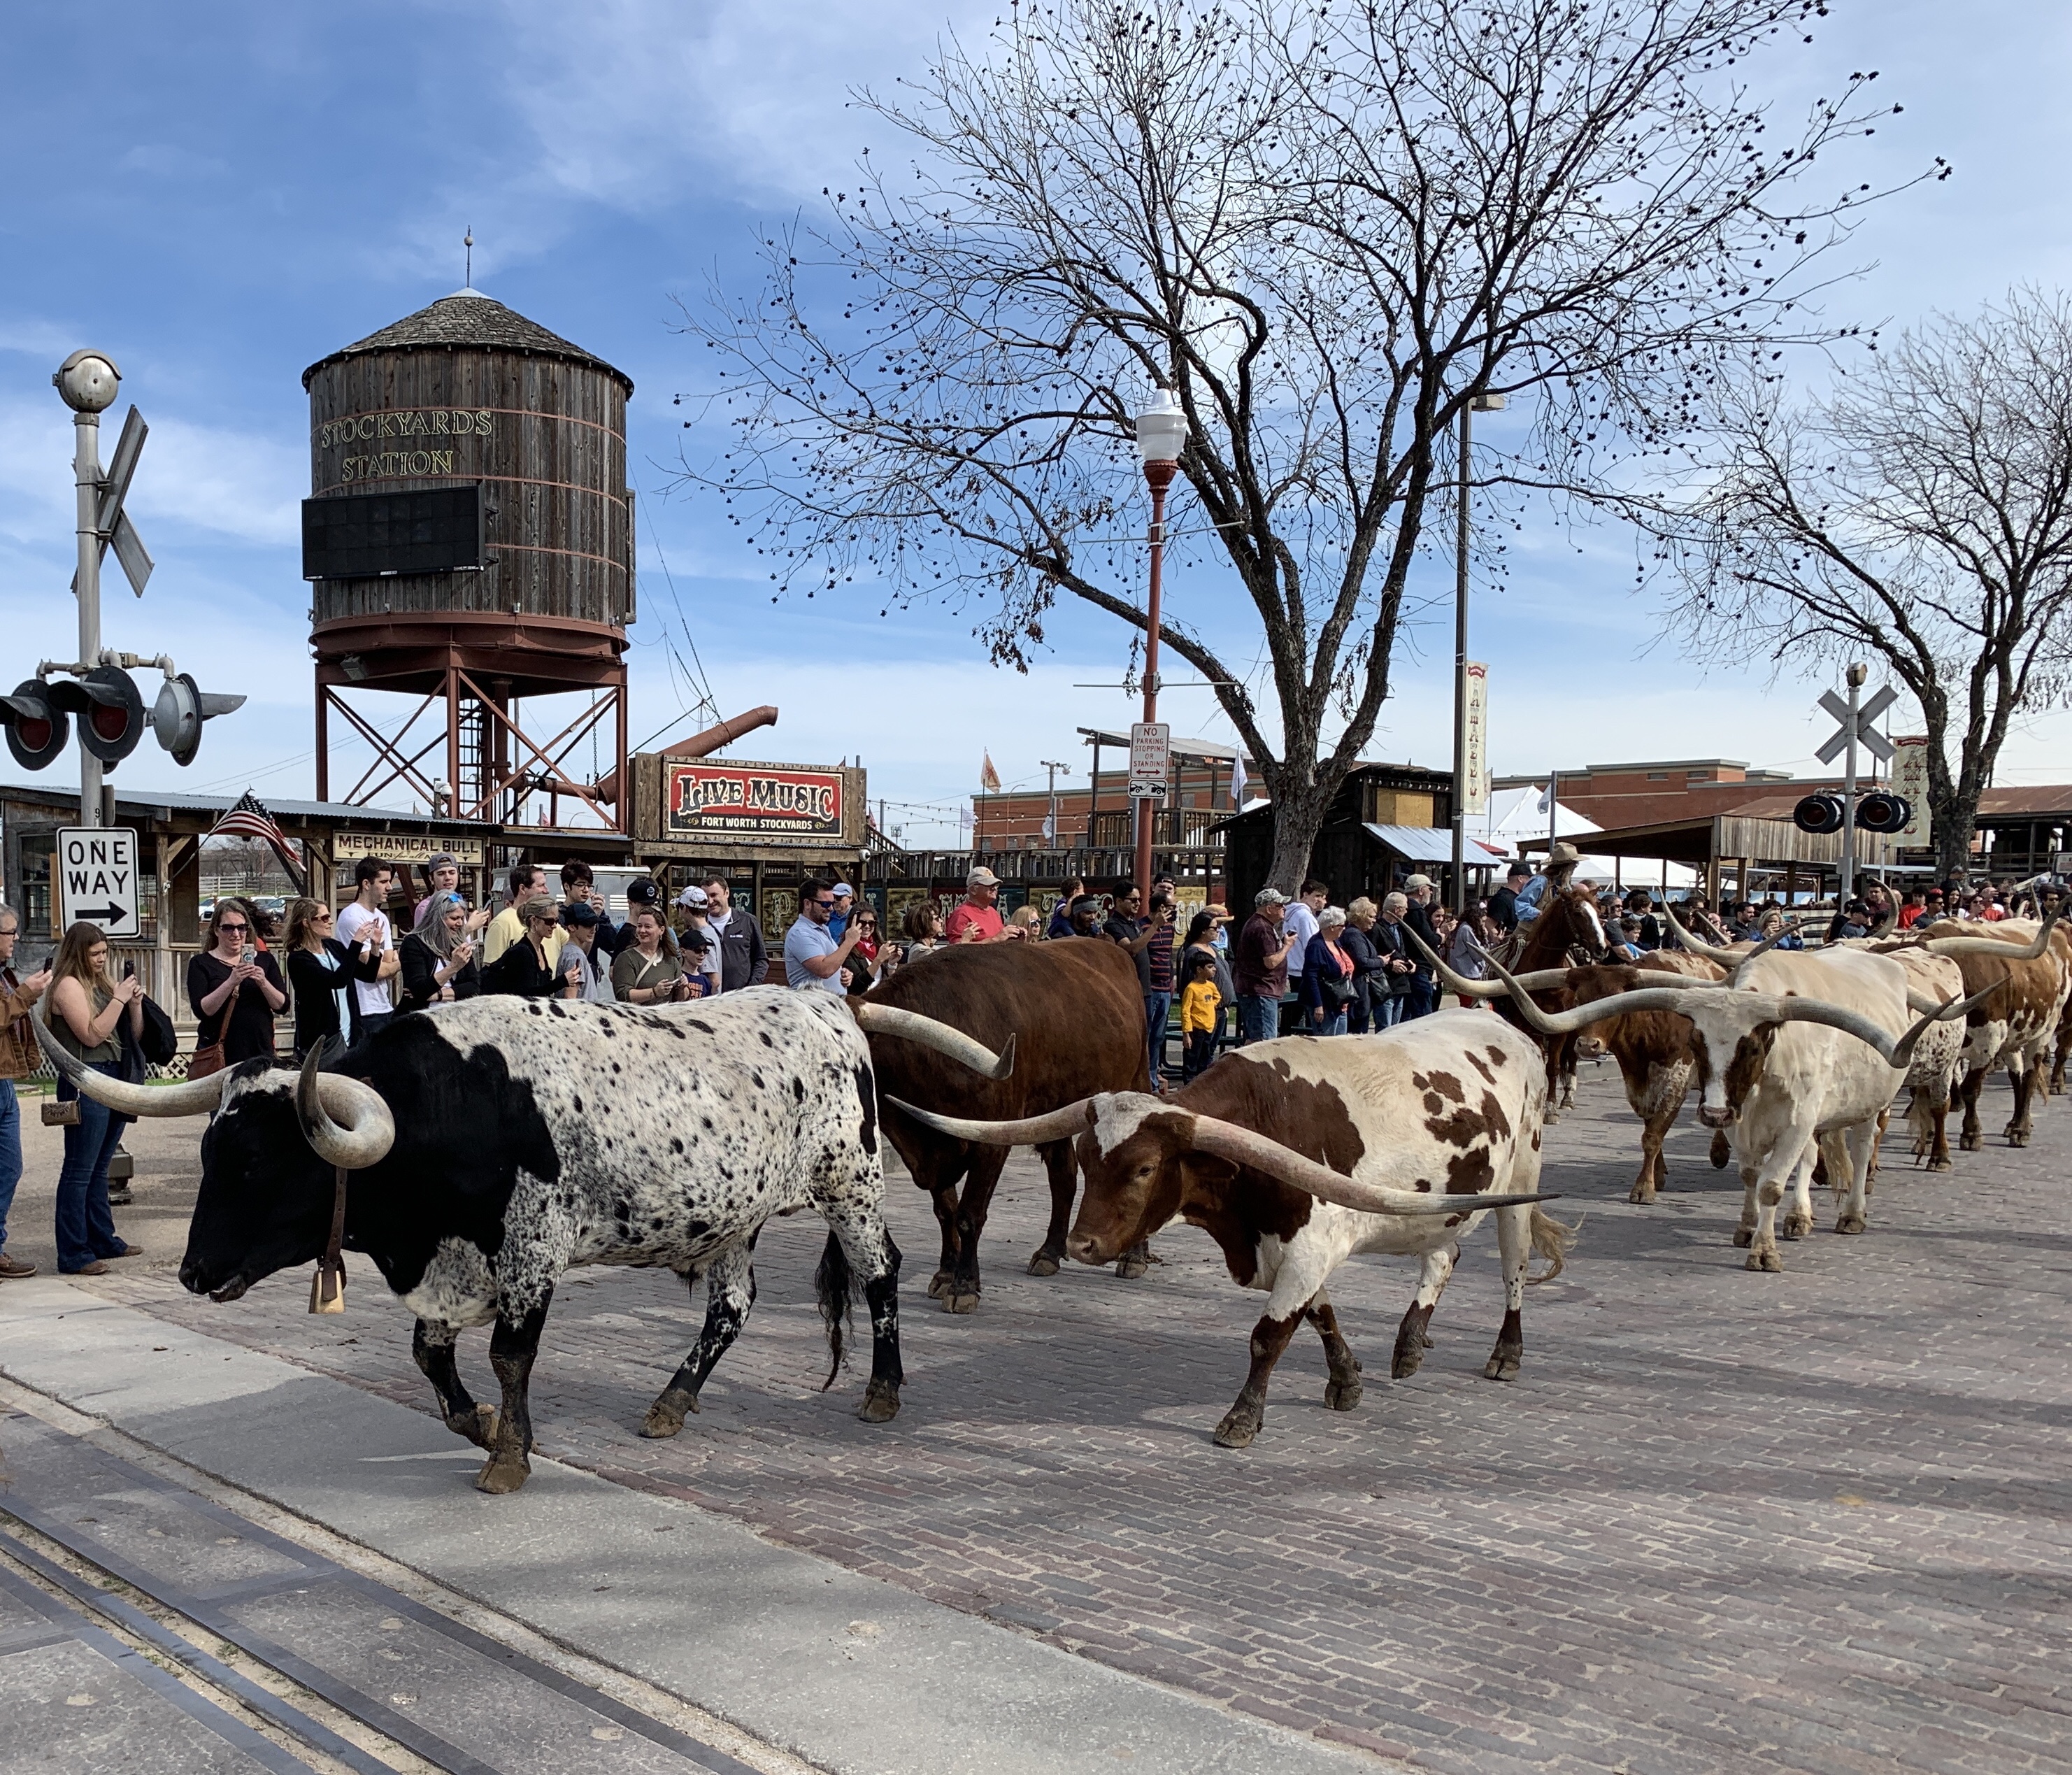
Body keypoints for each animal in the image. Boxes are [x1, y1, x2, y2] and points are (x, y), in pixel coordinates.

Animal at [38, 989, 1007, 1496]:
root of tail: (819, 997)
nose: (195, 1272)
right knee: (733, 1307)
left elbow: (510, 1355)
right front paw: (476, 1424)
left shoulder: (532, 1252)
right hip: (731, 1213)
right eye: (210, 1155)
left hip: (851, 1182)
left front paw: (507, 1453)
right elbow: (428, 1356)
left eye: (256, 1164)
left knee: (879, 1275)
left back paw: (882, 1391)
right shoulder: (451, 1267)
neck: (451, 1104)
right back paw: (672, 1401)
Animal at [859, 939, 1150, 1314]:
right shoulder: (933, 1150)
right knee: (1063, 1175)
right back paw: (1049, 1252)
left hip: (1139, 1078)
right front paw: (945, 1274)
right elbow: (945, 1211)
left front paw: (964, 1286)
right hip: (1051, 1112)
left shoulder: (991, 1140)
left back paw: (1134, 1257)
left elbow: (969, 1215)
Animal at [888, 1014, 1569, 1449]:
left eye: (1144, 1168)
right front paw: (1347, 1381)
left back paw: (1505, 1353)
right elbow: (1321, 1318)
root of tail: (1509, 1028)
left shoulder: (1308, 1248)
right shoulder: (1288, 1251)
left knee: (1511, 1271)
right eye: (1082, 1156)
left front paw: (1242, 1419)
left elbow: (1269, 1338)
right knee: (1443, 1254)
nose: (1081, 1246)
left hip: (1522, 1177)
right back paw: (1408, 1344)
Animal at [1485, 941, 1986, 1273]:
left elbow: (1771, 1185)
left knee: (1862, 1151)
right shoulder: (1741, 1121)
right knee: (1811, 1159)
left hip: (1871, 1104)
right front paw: (1748, 1228)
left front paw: (1763, 1250)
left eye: (1752, 1045)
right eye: (1697, 1042)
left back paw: (1852, 1214)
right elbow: (1751, 1176)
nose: (1712, 1115)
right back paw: (1801, 1216)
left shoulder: (1794, 1120)